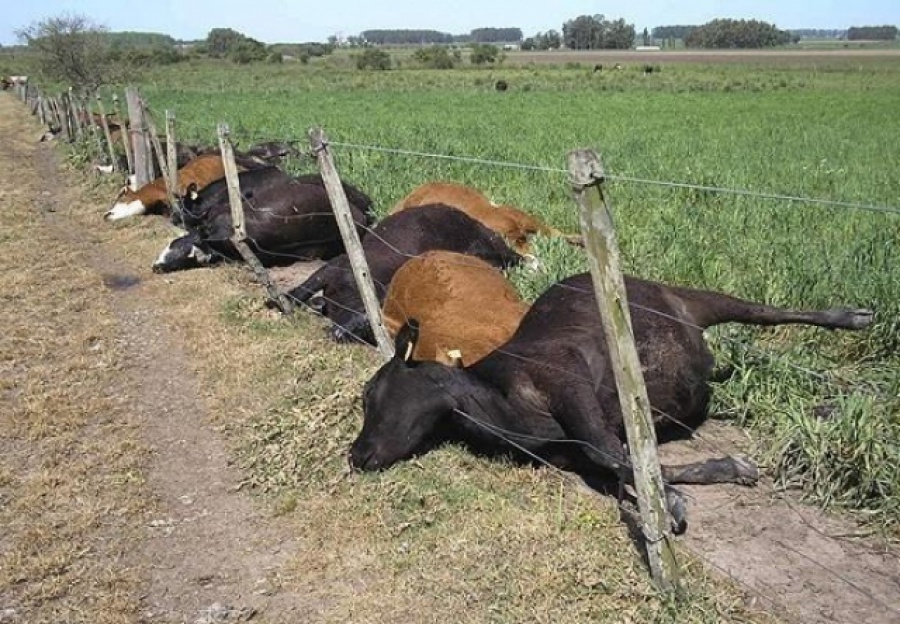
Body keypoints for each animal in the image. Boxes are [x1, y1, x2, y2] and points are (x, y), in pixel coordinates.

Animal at [284, 204, 524, 342]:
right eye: (332, 307)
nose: (337, 332)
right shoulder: (335, 268)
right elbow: (307, 285)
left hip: (487, 238)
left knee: (509, 255)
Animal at [346, 272, 872, 532]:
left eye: (371, 394)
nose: (356, 453)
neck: (499, 411)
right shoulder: (575, 450)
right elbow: (630, 463)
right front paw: (723, 470)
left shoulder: (569, 376)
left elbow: (611, 453)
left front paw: (674, 503)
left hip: (695, 297)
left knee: (763, 311)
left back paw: (853, 325)